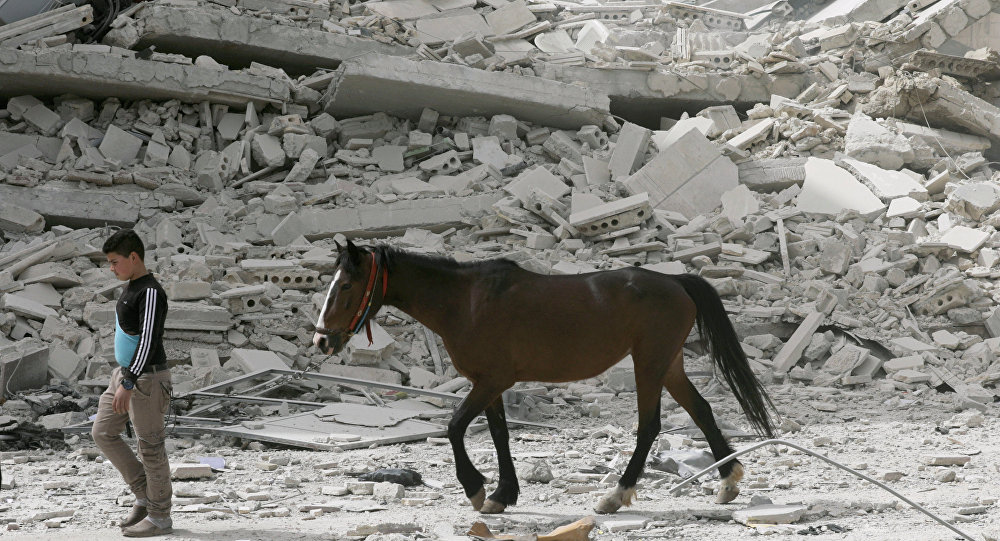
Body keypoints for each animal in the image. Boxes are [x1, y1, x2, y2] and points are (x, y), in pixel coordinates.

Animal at [312, 240, 772, 516]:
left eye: (347, 285)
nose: (321, 340)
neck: (465, 302)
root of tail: (676, 281)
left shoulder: (490, 381)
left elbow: (455, 427)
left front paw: (475, 489)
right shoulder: (490, 384)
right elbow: (499, 434)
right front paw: (502, 495)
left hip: (650, 364)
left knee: (649, 426)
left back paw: (615, 495)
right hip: (669, 365)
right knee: (702, 411)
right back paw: (728, 483)